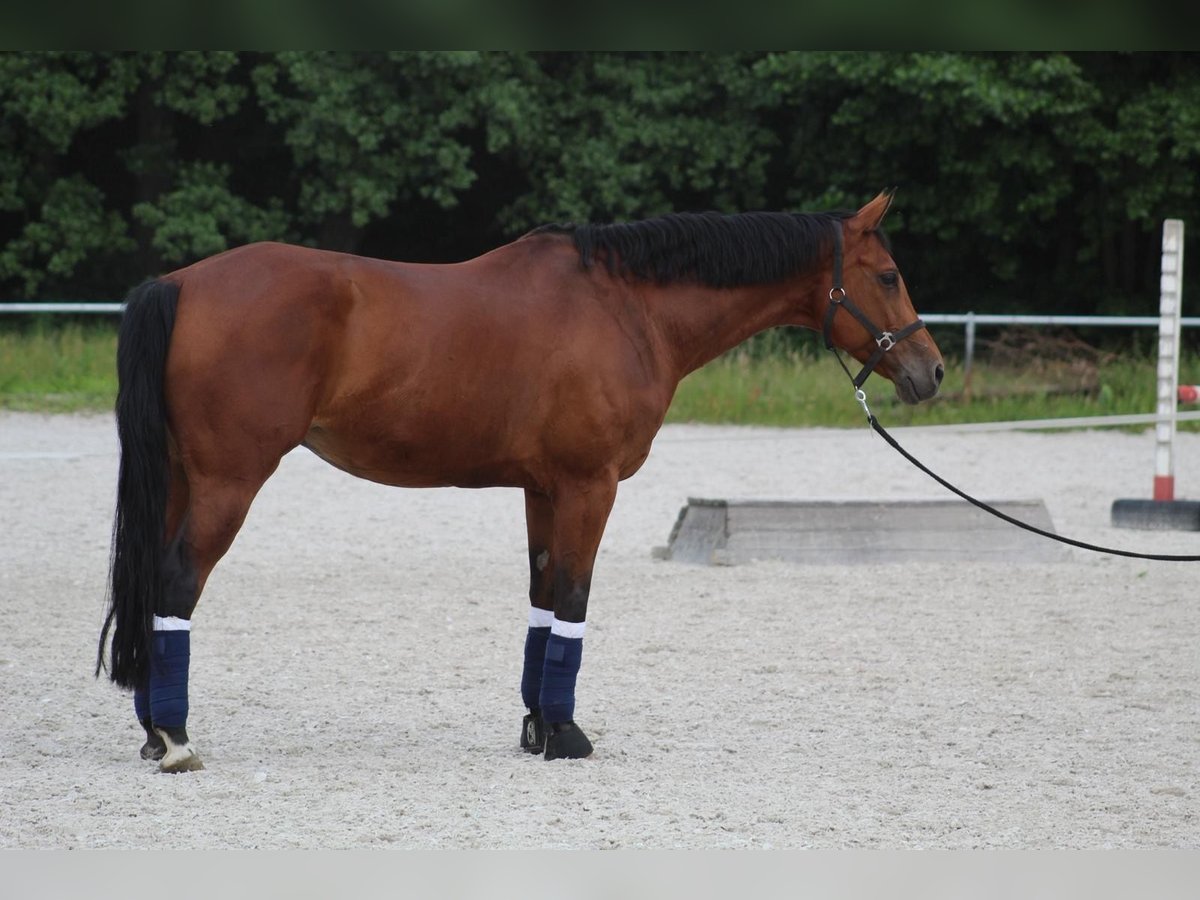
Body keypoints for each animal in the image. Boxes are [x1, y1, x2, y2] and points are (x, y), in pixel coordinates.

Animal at [96, 189, 944, 772]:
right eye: (888, 274)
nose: (931, 370)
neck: (626, 308)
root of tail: (181, 284)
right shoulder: (590, 486)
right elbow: (572, 598)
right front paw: (566, 734)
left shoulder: (545, 489)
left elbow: (541, 597)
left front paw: (538, 727)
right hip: (228, 483)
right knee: (176, 586)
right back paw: (175, 739)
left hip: (183, 480)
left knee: (152, 587)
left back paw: (152, 732)